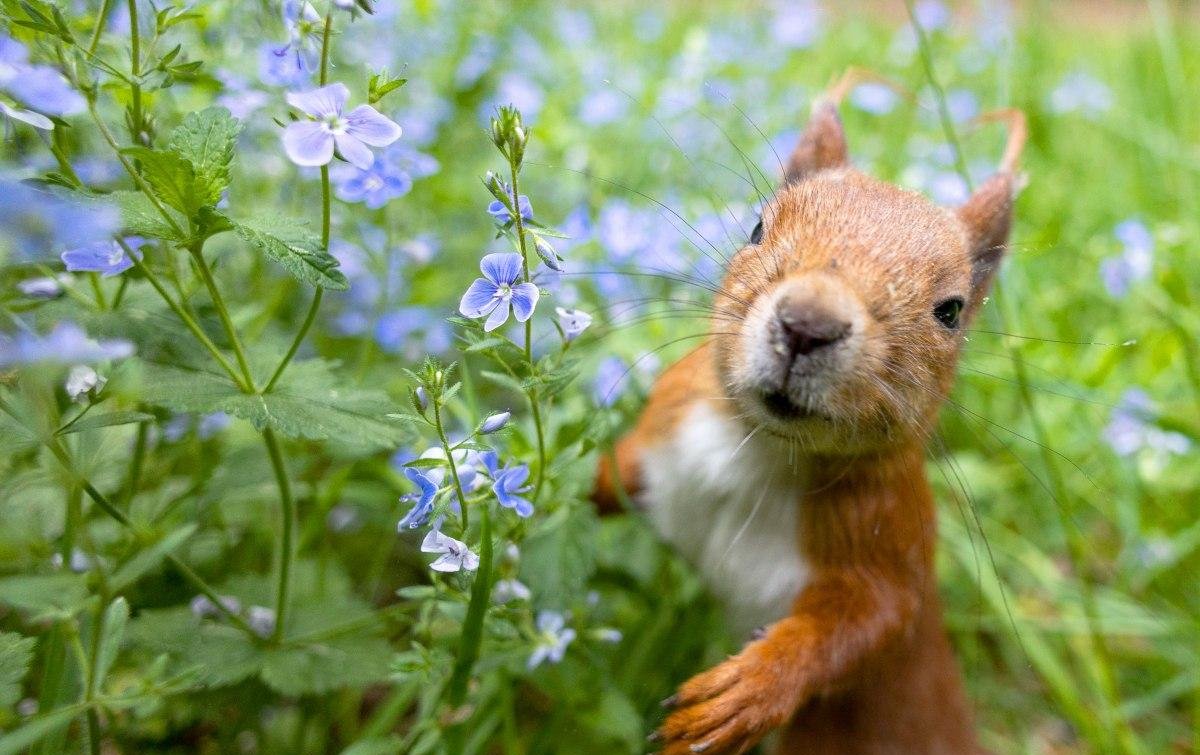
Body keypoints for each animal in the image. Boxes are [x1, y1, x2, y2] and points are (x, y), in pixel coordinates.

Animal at [595, 72, 1027, 753]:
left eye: (952, 310)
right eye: (756, 228)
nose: (807, 325)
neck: (755, 447)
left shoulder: (886, 531)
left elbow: (872, 622)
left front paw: (747, 690)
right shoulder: (668, 421)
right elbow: (616, 469)